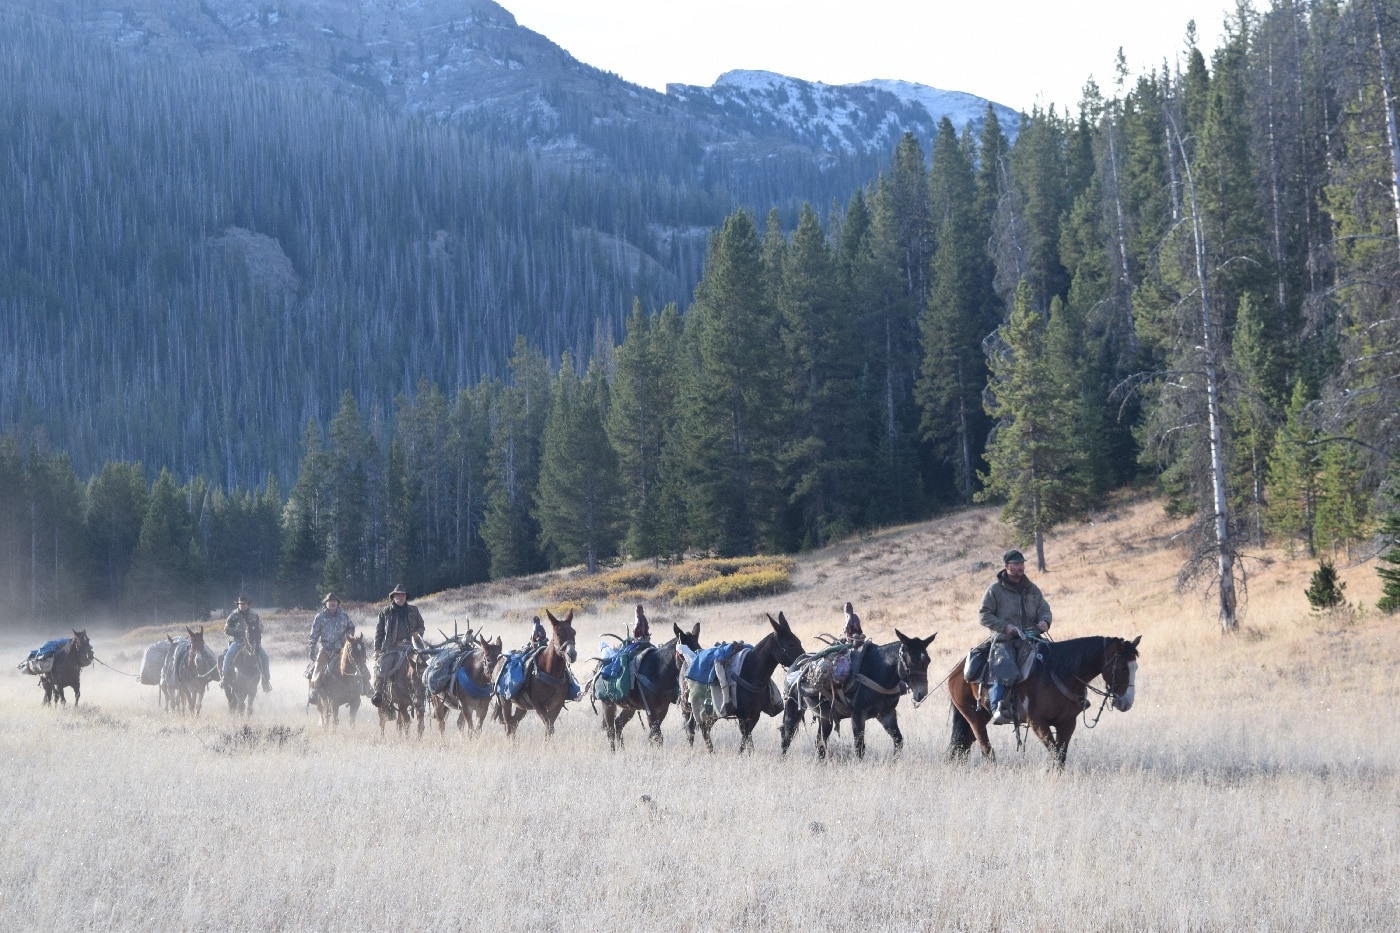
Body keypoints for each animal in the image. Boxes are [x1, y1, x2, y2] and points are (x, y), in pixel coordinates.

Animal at [593, 616, 697, 750]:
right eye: (681, 653)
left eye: (699, 649)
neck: (658, 672)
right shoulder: (650, 710)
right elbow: (658, 735)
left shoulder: (663, 709)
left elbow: (653, 735)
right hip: (608, 704)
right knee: (610, 730)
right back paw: (613, 752)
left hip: (630, 708)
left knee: (619, 723)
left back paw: (622, 749)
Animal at [683, 613, 806, 750]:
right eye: (791, 644)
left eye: (798, 641)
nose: (804, 660)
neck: (751, 672)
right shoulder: (743, 716)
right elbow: (745, 739)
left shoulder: (754, 715)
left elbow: (748, 739)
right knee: (700, 731)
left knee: (703, 730)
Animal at [784, 627, 935, 762]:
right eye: (912, 660)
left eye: (928, 660)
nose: (922, 693)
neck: (878, 671)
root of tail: (796, 663)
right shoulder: (858, 714)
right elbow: (859, 747)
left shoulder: (887, 714)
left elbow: (898, 741)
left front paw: (894, 764)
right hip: (793, 709)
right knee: (787, 735)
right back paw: (783, 759)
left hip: (825, 716)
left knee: (820, 741)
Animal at [946, 633, 1142, 762]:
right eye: (1123, 668)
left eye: (1136, 668)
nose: (1127, 703)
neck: (1062, 672)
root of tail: (958, 668)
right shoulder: (1038, 723)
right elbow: (1055, 754)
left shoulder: (1067, 723)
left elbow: (1060, 756)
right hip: (973, 717)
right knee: (985, 748)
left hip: (980, 716)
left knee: (963, 745)